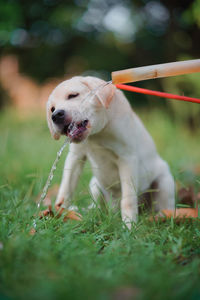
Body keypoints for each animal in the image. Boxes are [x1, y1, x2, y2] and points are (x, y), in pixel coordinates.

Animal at [46, 76, 174, 229]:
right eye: (52, 109)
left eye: (73, 95)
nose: (56, 115)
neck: (97, 134)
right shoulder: (75, 156)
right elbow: (66, 189)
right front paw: (60, 215)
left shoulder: (127, 159)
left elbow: (128, 199)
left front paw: (129, 227)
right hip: (95, 185)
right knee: (99, 208)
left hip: (165, 183)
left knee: (163, 206)